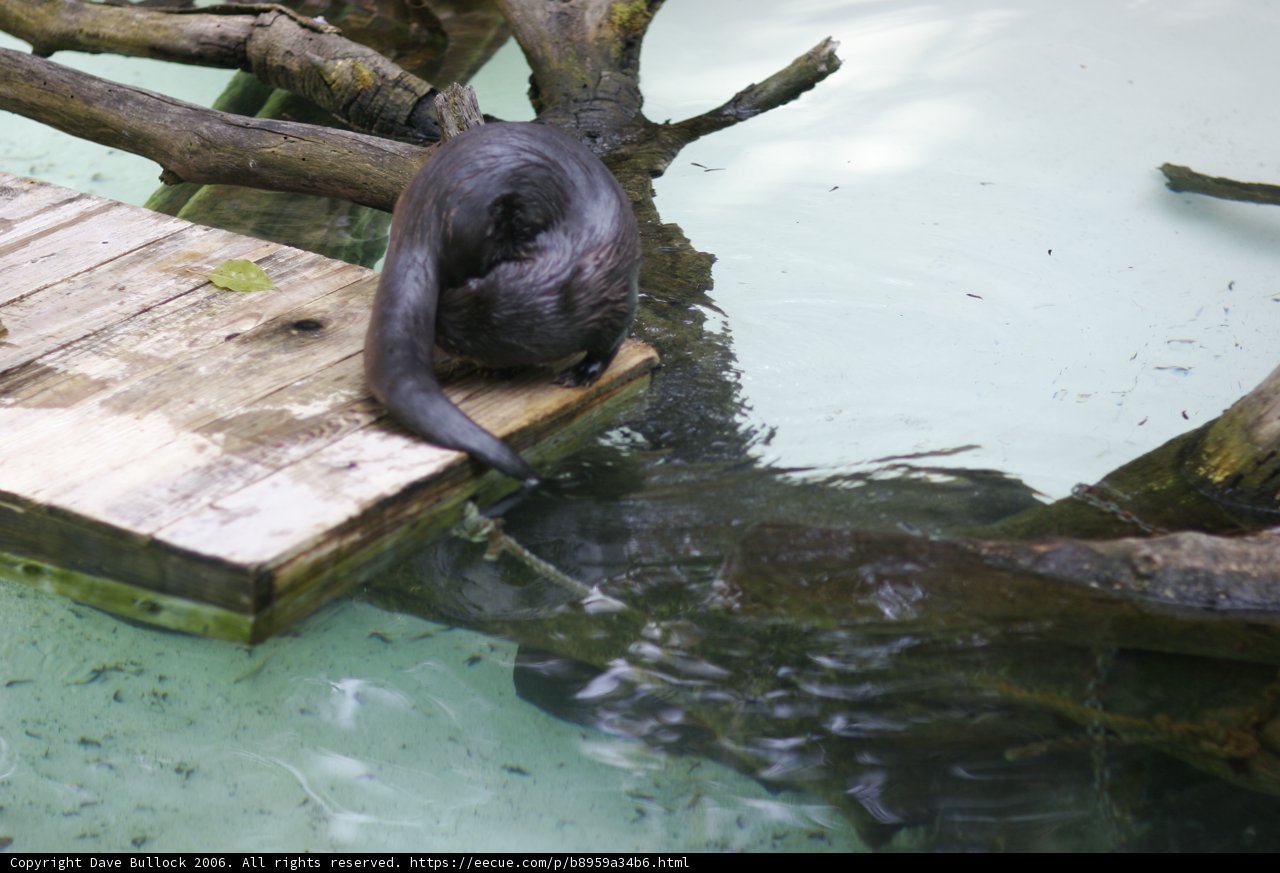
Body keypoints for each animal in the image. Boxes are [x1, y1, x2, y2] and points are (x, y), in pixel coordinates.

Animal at [365, 122, 641, 483]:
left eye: (458, 344)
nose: (439, 318)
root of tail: (426, 209)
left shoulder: (618, 303)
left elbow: (608, 346)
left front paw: (581, 374)